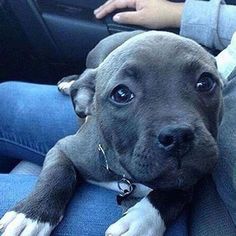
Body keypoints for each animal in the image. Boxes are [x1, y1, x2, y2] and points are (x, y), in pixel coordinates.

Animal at [0, 31, 223, 236]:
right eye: (122, 94)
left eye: (205, 82)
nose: (178, 136)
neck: (129, 177)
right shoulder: (63, 148)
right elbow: (57, 174)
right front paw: (30, 215)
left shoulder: (189, 179)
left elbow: (170, 195)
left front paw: (140, 221)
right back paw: (70, 82)